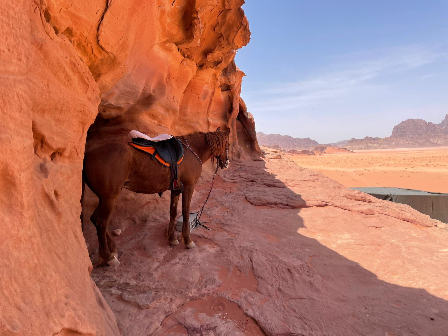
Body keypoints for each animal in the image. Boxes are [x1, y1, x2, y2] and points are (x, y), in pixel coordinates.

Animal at [81, 128, 229, 266]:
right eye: (227, 143)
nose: (226, 163)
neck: (191, 150)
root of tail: (87, 155)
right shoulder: (188, 187)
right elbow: (186, 213)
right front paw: (187, 241)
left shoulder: (176, 189)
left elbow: (173, 212)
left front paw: (172, 238)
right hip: (109, 198)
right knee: (100, 222)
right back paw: (109, 257)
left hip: (104, 198)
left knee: (94, 219)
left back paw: (111, 250)